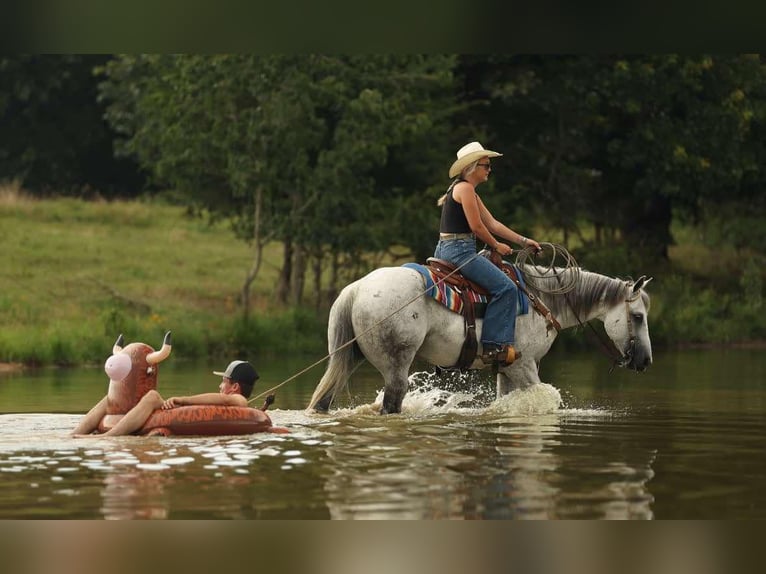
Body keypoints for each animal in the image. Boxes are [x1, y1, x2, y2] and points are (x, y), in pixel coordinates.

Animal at [307, 262, 653, 414]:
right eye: (638, 316)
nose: (645, 361)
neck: (542, 298)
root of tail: (357, 288)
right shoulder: (524, 365)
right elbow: (544, 398)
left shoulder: (508, 368)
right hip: (396, 362)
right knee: (393, 400)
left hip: (349, 357)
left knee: (325, 397)